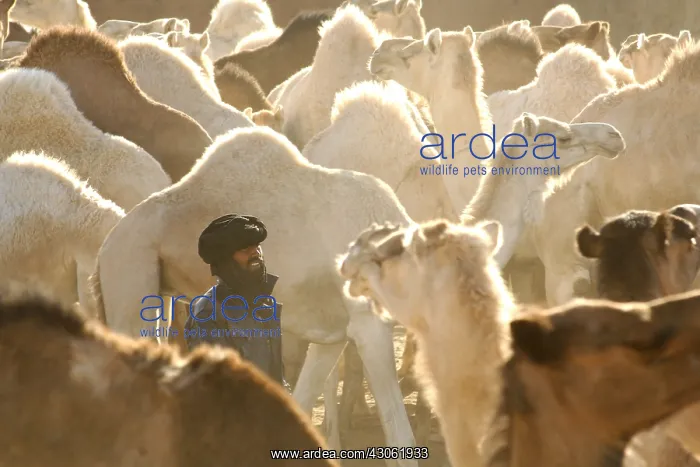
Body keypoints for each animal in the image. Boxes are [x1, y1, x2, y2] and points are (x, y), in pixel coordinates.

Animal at [88, 126, 419, 466]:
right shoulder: (368, 322)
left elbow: (300, 401)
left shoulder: (335, 333)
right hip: (130, 269)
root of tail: (106, 247)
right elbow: (399, 434)